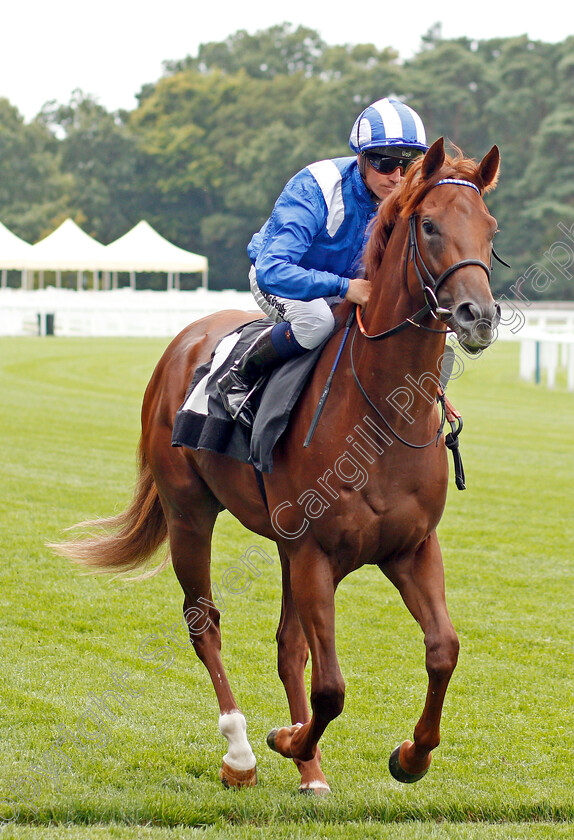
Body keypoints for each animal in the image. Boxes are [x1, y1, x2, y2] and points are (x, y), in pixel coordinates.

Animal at [56, 139, 502, 796]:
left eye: (490, 228)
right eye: (428, 224)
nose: (479, 315)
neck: (379, 414)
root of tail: (184, 340)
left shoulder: (410, 547)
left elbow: (442, 649)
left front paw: (410, 755)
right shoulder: (315, 550)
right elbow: (331, 686)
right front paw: (287, 740)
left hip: (284, 544)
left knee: (290, 643)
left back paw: (308, 769)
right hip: (190, 515)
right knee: (205, 624)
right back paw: (241, 752)